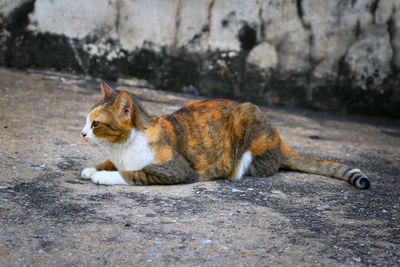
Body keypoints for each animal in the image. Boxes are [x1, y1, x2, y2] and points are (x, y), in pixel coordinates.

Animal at [79, 82, 370, 189]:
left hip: (246, 114)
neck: (121, 148)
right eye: (86, 120)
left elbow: (132, 173)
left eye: (96, 124)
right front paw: (94, 167)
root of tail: (280, 138)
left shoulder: (176, 170)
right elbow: (111, 163)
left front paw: (102, 175)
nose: (82, 133)